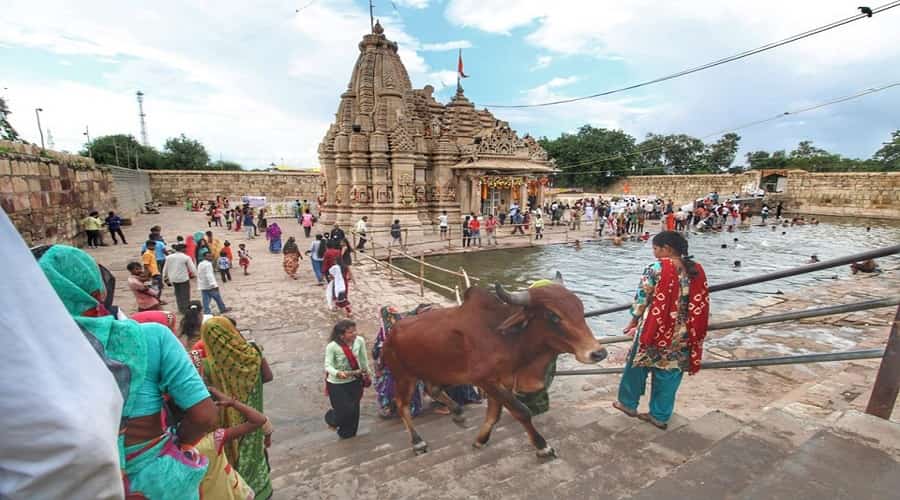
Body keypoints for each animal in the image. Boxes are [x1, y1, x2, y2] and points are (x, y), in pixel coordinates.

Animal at [384, 276, 608, 458]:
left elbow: (494, 415)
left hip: (436, 371)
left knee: (433, 389)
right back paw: (418, 442)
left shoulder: (502, 382)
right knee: (402, 405)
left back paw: (457, 412)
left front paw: (480, 440)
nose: (598, 353)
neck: (507, 338)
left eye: (580, 308)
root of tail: (393, 329)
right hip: (403, 376)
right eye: (553, 316)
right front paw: (542, 447)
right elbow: (521, 411)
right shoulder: (485, 380)